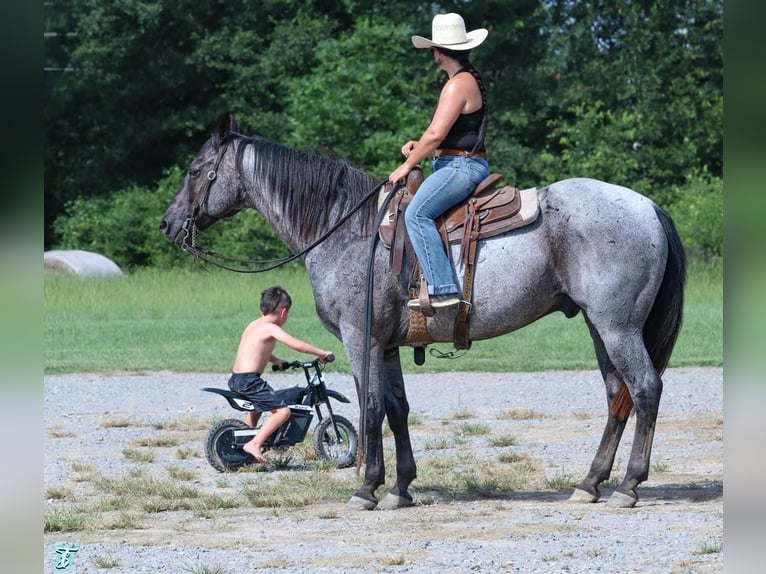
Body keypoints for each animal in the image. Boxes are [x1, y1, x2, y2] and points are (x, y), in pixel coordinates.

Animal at [159, 115, 688, 510]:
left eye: (195, 169)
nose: (167, 224)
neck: (348, 229)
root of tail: (648, 206)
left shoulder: (361, 339)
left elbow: (370, 408)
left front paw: (367, 488)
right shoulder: (389, 344)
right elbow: (397, 409)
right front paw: (401, 488)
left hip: (618, 327)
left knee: (644, 389)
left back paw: (628, 486)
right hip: (602, 328)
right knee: (618, 396)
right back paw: (590, 483)